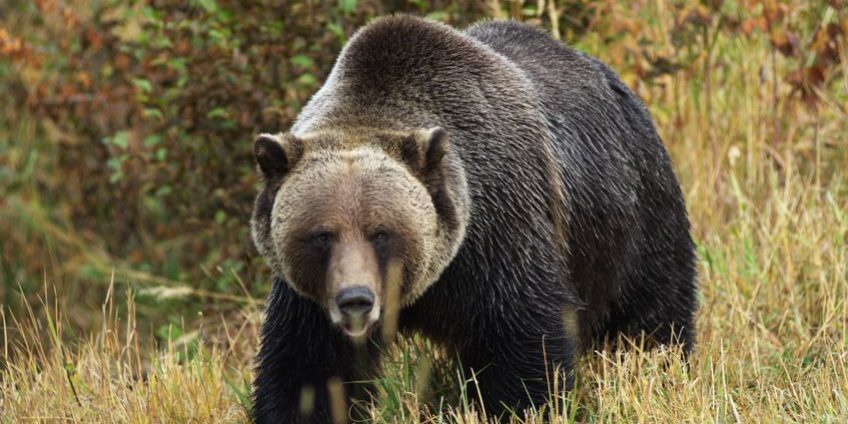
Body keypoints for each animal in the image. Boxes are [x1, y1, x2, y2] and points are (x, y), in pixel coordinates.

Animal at [250, 15, 697, 423]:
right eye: (322, 235)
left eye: (381, 232)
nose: (356, 299)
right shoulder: (309, 300)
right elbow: (306, 369)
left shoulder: (498, 233)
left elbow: (523, 341)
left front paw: (521, 406)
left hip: (631, 216)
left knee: (653, 316)